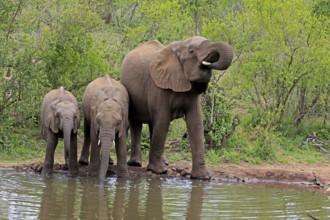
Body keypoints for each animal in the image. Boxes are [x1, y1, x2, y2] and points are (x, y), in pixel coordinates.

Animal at [120, 35, 233, 179]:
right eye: (191, 51)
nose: (209, 64)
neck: (179, 45)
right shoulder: (158, 85)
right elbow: (163, 120)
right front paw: (159, 171)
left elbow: (196, 123)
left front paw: (203, 177)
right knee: (137, 123)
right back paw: (135, 163)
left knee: (152, 124)